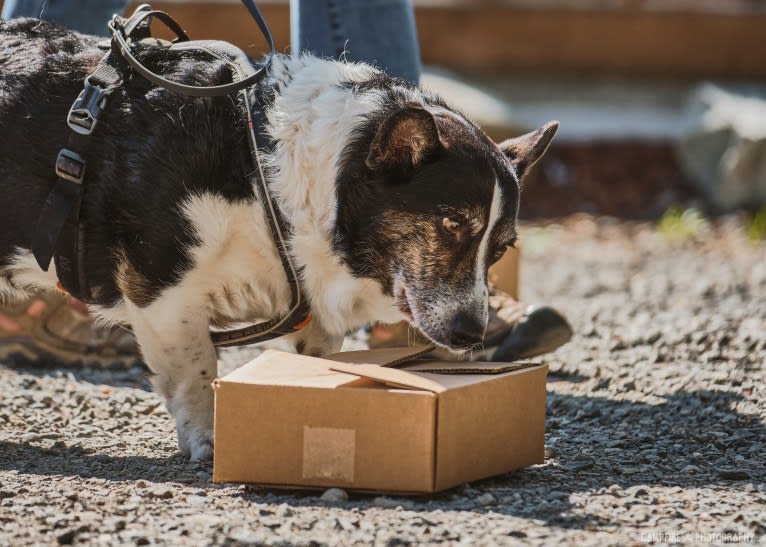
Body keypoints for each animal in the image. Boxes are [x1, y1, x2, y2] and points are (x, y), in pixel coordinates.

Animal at [0, 19, 560, 460]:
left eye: (501, 248)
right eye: (451, 224)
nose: (472, 335)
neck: (268, 174)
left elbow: (311, 360)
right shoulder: (164, 291)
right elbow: (197, 367)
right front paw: (210, 441)